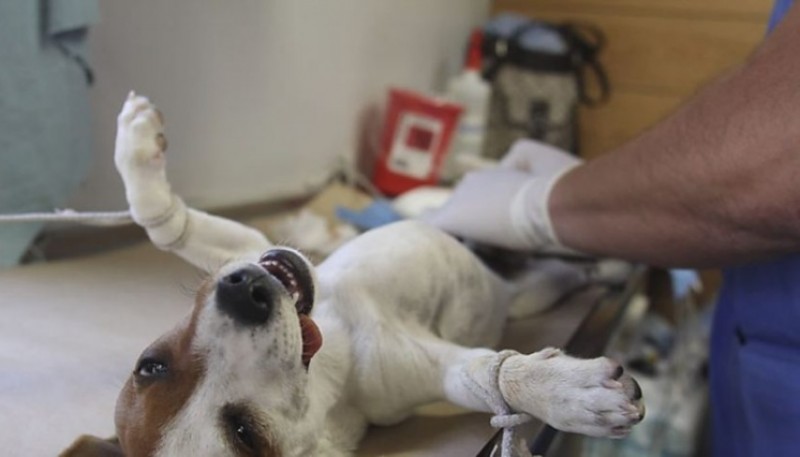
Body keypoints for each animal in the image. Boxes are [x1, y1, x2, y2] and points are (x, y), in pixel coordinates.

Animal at [62, 93, 644, 456]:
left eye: (151, 364)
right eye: (243, 432)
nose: (245, 292)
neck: (327, 361)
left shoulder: (246, 244)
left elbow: (162, 223)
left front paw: (137, 145)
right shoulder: (432, 371)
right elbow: (490, 375)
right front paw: (566, 393)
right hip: (529, 294)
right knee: (558, 268)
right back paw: (606, 263)